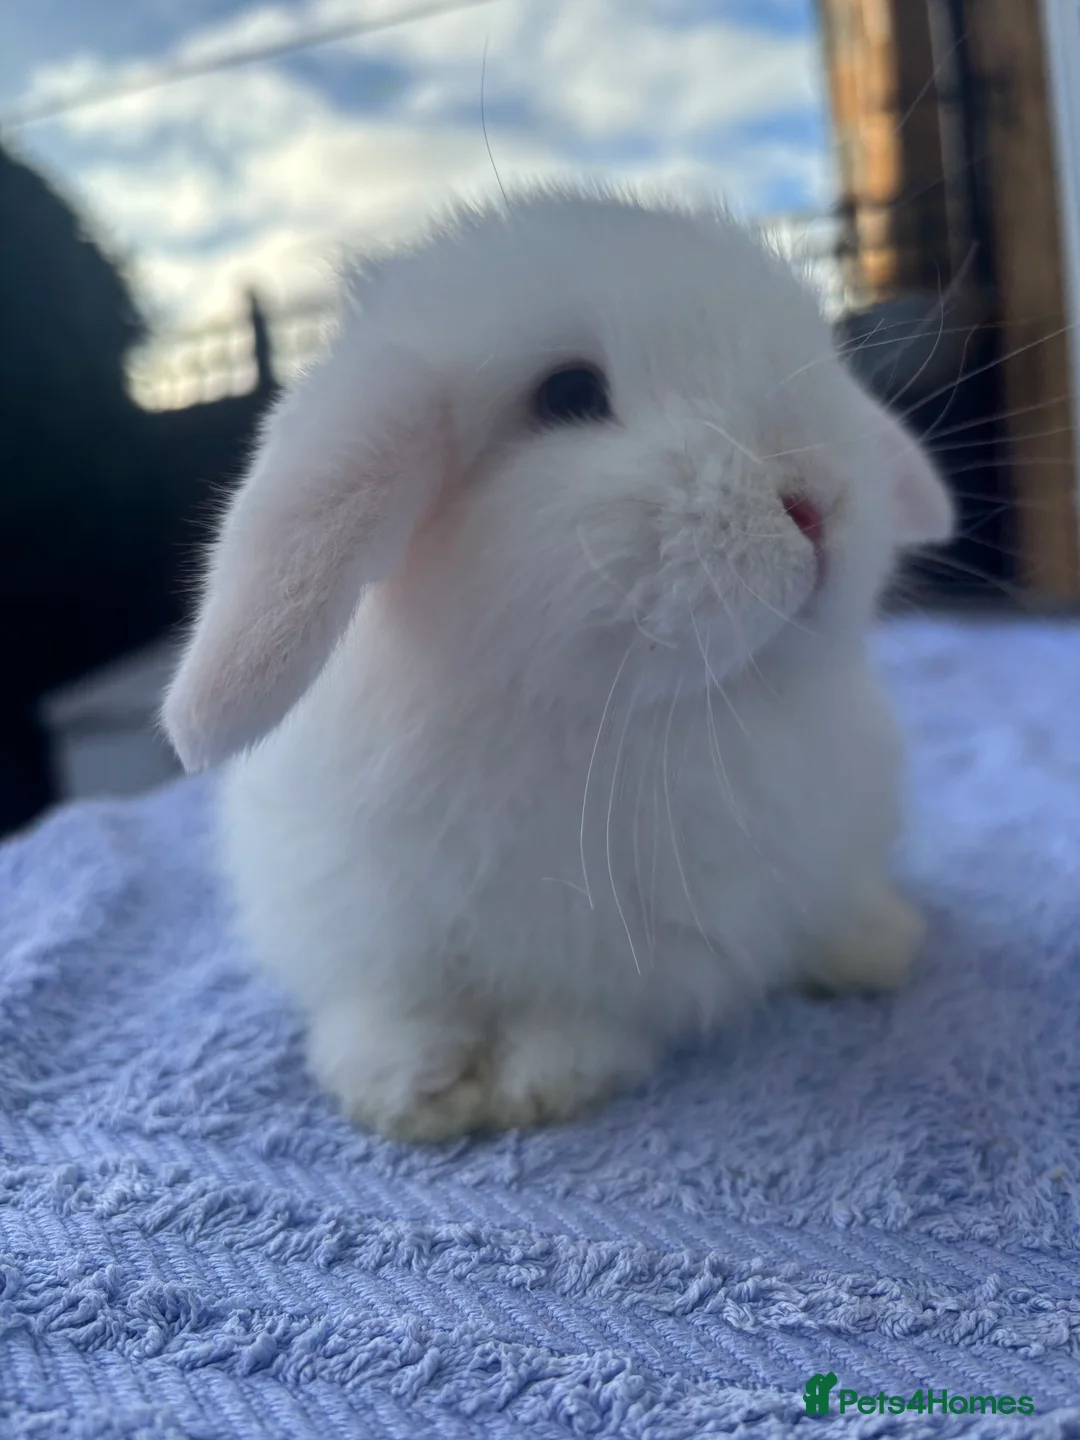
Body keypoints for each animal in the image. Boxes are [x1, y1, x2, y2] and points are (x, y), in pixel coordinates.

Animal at [162, 183, 954, 1142]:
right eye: (569, 393)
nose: (816, 502)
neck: (638, 724)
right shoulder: (357, 915)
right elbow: (394, 1007)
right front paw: (407, 1090)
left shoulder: (642, 963)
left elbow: (586, 1020)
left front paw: (542, 1080)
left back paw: (877, 943)